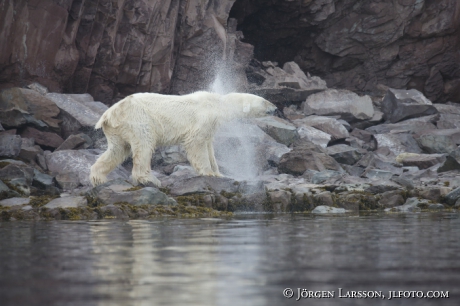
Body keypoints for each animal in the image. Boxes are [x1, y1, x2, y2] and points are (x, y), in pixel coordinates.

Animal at [90, 91, 276, 186]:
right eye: (265, 101)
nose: (275, 108)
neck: (218, 103)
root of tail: (109, 114)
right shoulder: (203, 118)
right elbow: (196, 143)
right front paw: (208, 172)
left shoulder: (210, 125)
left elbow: (209, 147)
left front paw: (219, 173)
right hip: (139, 120)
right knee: (144, 146)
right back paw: (150, 179)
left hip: (118, 129)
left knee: (117, 149)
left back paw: (98, 177)